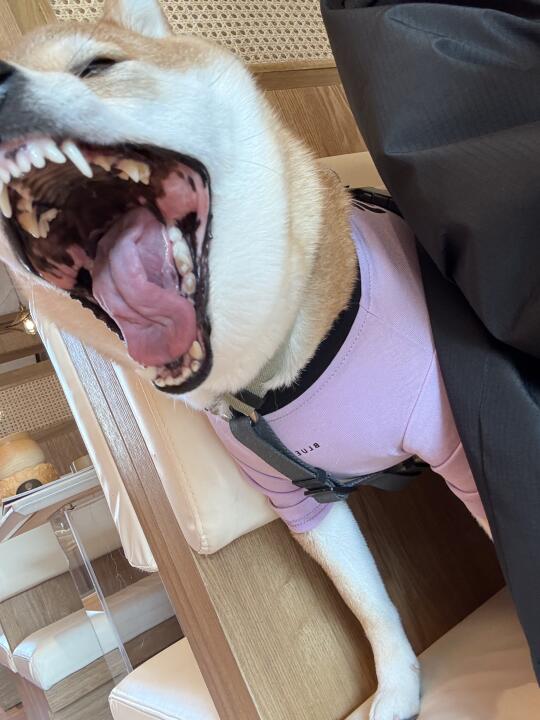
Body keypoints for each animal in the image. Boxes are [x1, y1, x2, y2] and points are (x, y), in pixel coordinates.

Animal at [0, 2, 492, 718]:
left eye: (97, 66)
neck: (277, 369)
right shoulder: (302, 503)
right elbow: (369, 607)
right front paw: (398, 690)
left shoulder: (456, 446)